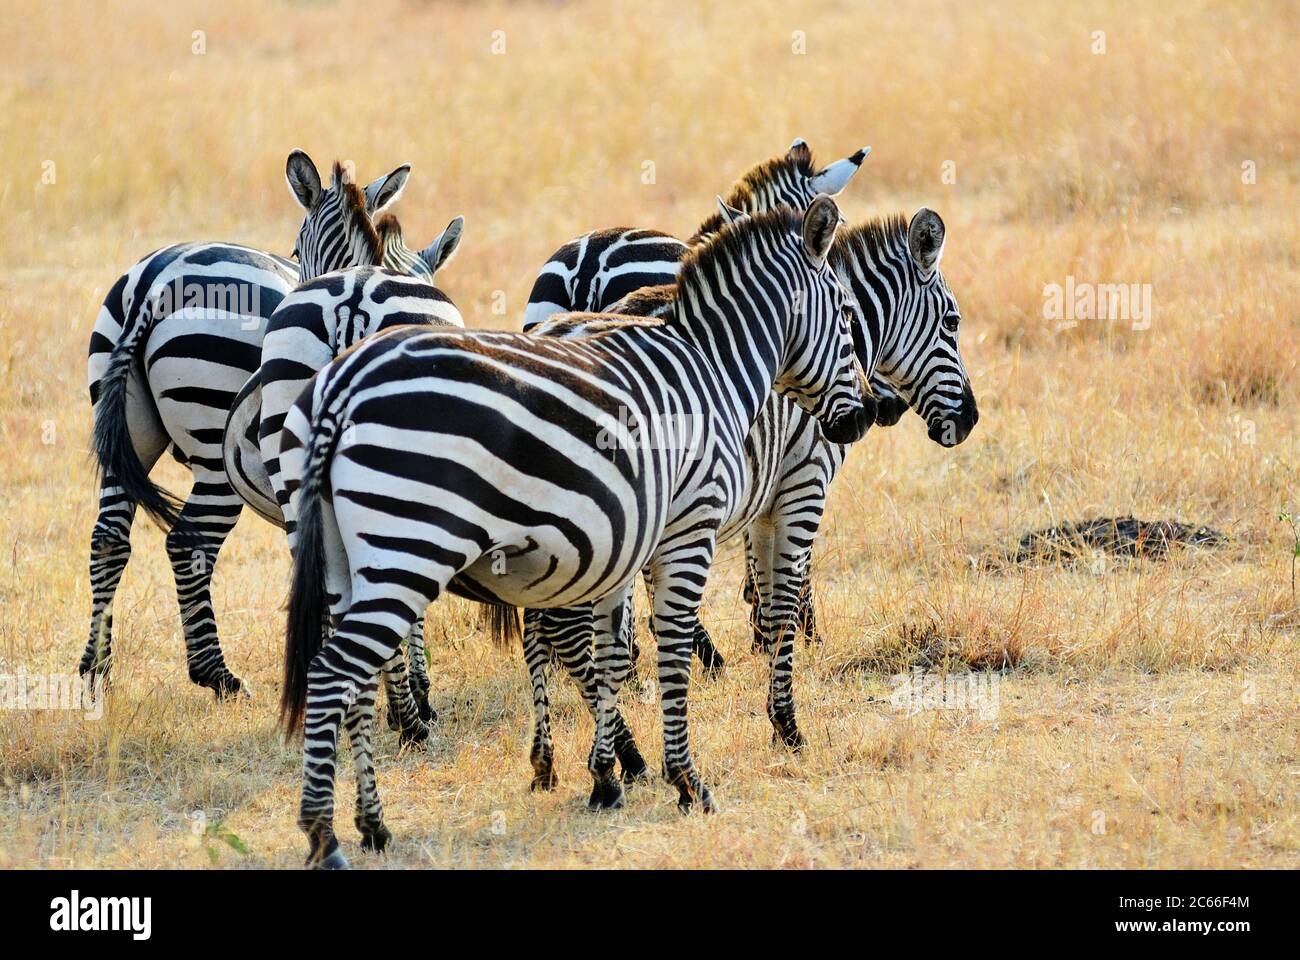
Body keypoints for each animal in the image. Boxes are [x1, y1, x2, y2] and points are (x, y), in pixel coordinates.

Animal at [84, 150, 413, 698]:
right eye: (295, 249)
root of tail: (154, 283)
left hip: (125, 431)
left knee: (109, 536)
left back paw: (95, 669)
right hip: (214, 449)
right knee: (189, 541)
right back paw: (215, 674)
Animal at [276, 197, 870, 867]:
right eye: (848, 318)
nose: (863, 419)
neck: (711, 366)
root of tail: (341, 384)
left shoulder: (626, 537)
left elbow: (611, 654)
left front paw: (606, 776)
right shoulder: (689, 529)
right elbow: (671, 650)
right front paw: (689, 781)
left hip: (337, 558)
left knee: (351, 679)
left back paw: (373, 825)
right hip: (407, 550)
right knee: (334, 674)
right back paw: (325, 835)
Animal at [519, 205, 977, 787]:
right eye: (953, 323)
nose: (970, 420)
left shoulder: (763, 500)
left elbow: (762, 594)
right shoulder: (804, 482)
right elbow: (782, 600)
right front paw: (786, 724)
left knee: (541, 630)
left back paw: (555, 761)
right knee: (569, 633)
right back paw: (628, 758)